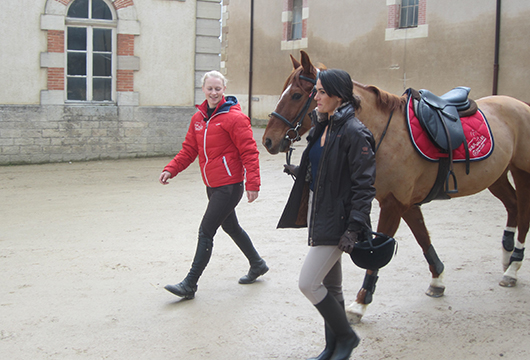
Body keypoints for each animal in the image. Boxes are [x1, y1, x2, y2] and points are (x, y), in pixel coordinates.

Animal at [262, 50, 528, 320]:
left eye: (296, 95)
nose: (268, 140)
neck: (385, 132)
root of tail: (519, 104)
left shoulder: (393, 204)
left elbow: (377, 254)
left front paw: (361, 301)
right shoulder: (406, 203)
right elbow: (423, 237)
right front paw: (437, 279)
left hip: (522, 171)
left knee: (523, 212)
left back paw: (513, 266)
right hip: (496, 175)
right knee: (513, 205)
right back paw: (507, 256)